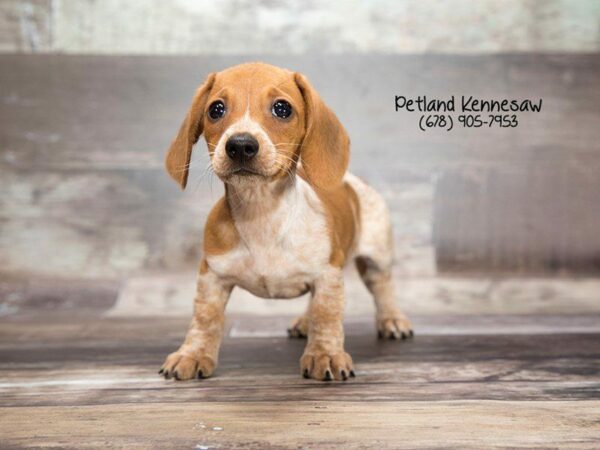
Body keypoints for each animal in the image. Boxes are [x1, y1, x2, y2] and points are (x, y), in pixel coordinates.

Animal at [159, 61, 412, 382]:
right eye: (215, 109)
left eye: (282, 108)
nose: (240, 145)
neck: (261, 214)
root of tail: (354, 180)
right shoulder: (212, 276)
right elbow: (204, 319)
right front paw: (192, 354)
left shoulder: (327, 274)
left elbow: (327, 316)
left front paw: (325, 354)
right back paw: (304, 322)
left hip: (377, 259)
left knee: (383, 289)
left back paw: (392, 320)